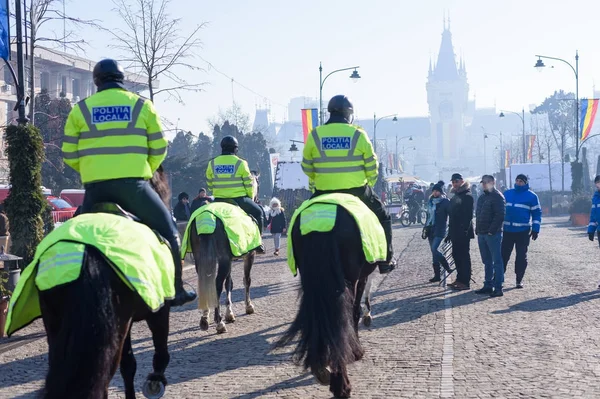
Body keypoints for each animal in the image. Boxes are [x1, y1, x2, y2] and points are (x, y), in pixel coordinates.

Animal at [276, 205, 376, 398]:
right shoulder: (361, 277)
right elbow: (355, 311)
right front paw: (357, 350)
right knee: (342, 321)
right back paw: (341, 385)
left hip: (312, 282)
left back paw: (323, 370)